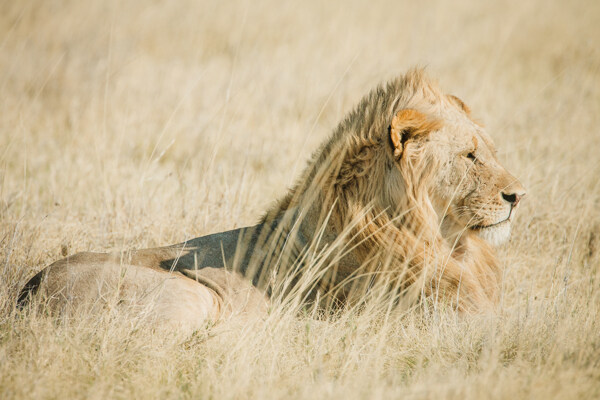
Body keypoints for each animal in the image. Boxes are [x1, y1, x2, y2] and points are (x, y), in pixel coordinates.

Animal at [17, 69, 524, 332]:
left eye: (490, 150)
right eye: (470, 156)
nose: (518, 196)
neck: (444, 242)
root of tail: (27, 291)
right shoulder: (430, 323)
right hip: (195, 295)